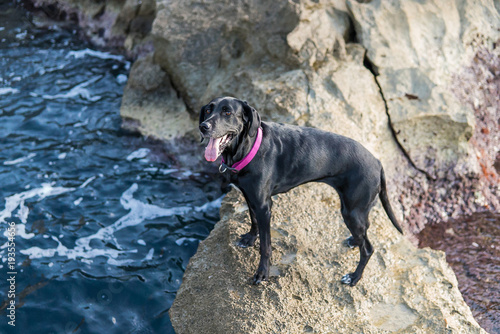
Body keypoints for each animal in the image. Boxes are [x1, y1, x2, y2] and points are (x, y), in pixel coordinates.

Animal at [198, 95, 402, 286]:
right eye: (208, 110)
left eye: (227, 112)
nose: (203, 126)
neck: (248, 150)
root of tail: (377, 162)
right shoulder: (251, 198)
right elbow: (253, 220)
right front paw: (249, 239)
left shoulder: (264, 206)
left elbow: (266, 245)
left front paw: (262, 273)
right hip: (357, 212)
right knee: (365, 230)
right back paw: (353, 241)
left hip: (352, 211)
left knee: (368, 249)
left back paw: (354, 277)